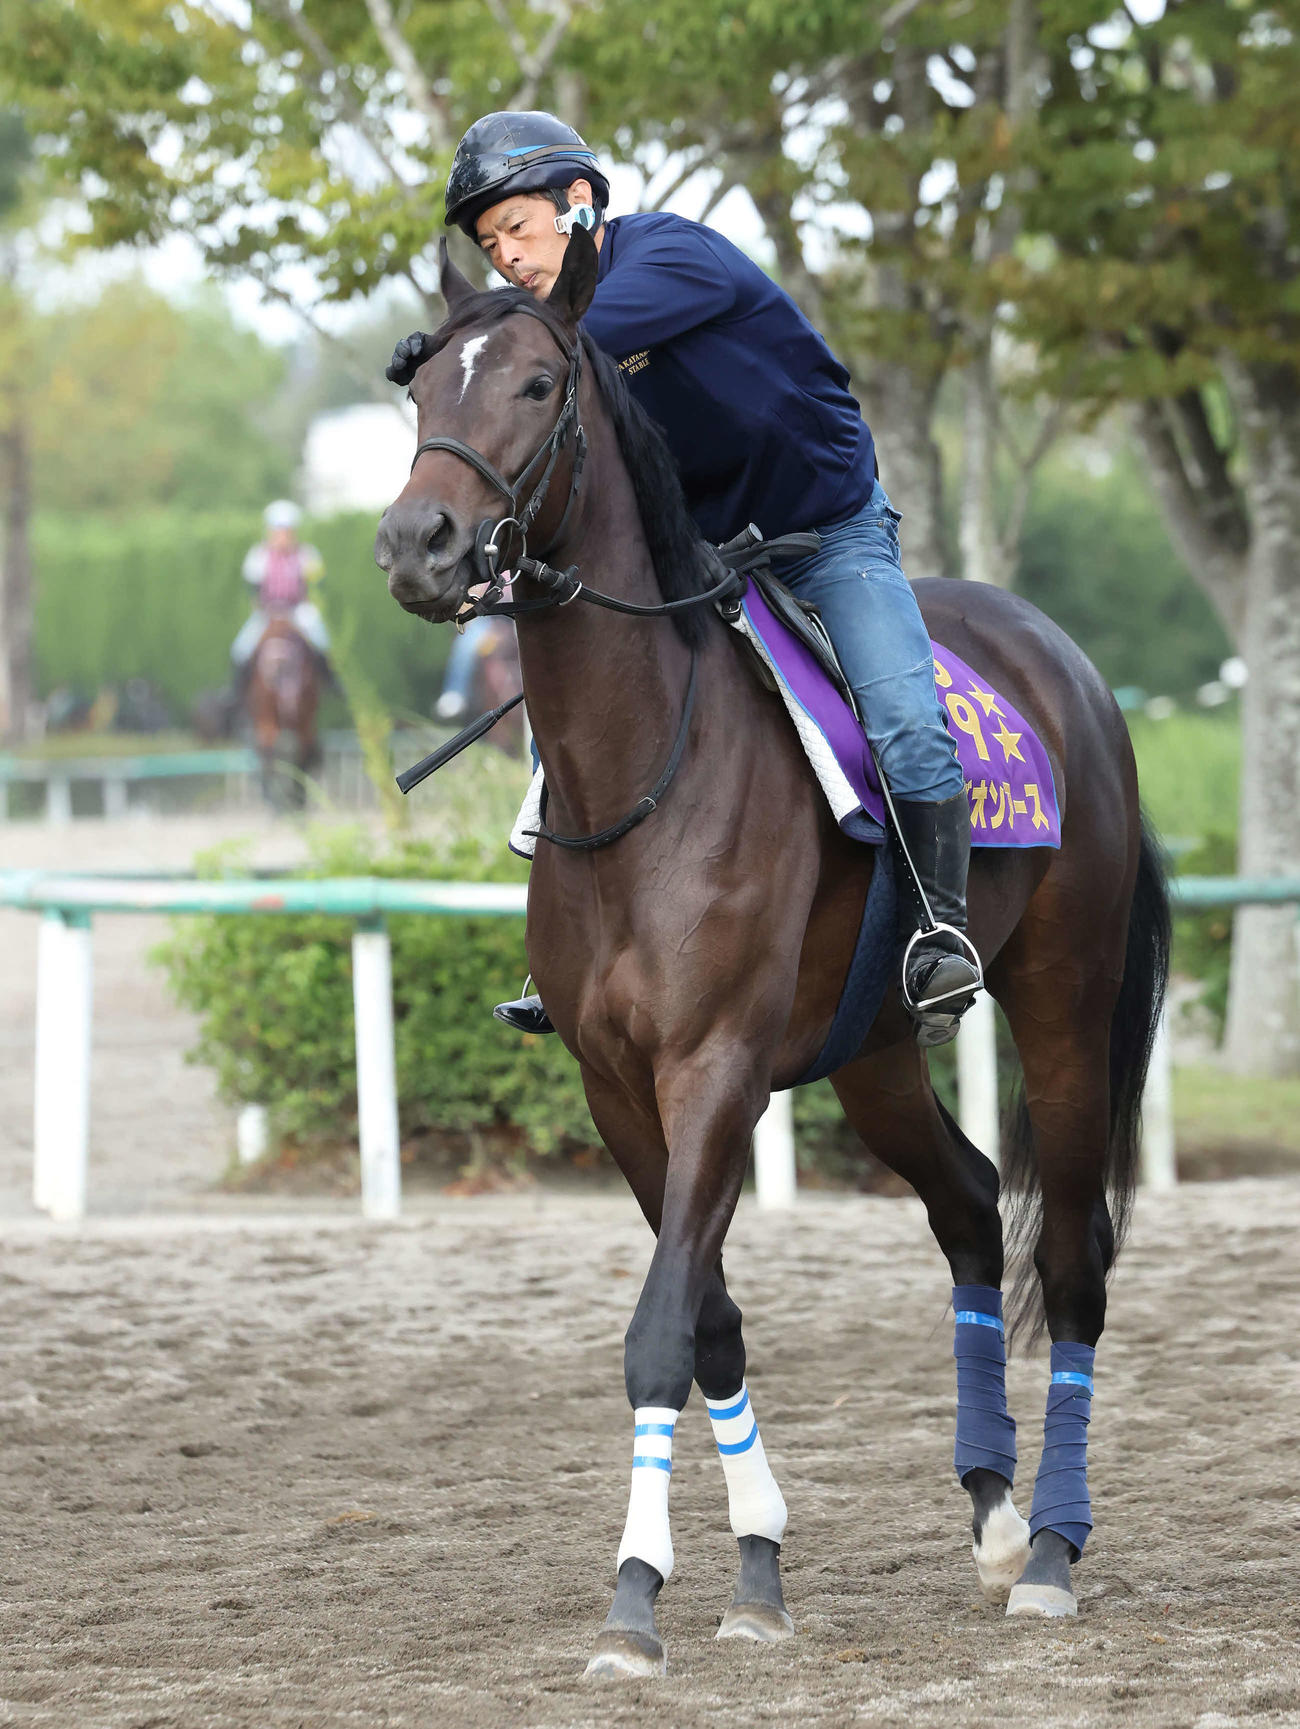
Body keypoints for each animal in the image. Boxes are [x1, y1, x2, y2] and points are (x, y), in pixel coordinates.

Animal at [374, 231, 1169, 1676]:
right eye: (424, 394)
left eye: (534, 383)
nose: (420, 542)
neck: (640, 767)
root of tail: (1071, 668)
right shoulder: (617, 1088)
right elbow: (708, 1323)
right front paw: (751, 1567)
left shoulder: (715, 1070)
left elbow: (656, 1332)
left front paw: (635, 1598)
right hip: (874, 1053)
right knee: (971, 1203)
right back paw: (990, 1514)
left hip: (1064, 1003)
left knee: (1072, 1259)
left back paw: (1051, 1553)